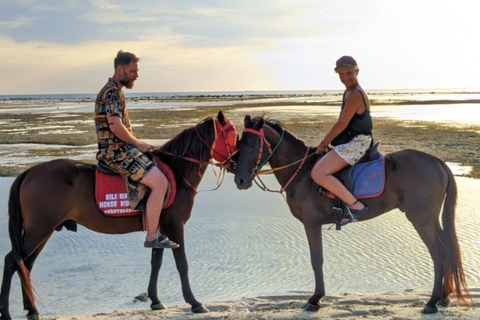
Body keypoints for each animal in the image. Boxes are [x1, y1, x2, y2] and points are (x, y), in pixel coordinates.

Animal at [0, 110, 237, 320]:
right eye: (233, 135)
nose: (236, 163)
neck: (177, 172)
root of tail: (29, 172)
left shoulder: (159, 230)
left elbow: (156, 262)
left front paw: (155, 300)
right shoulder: (175, 226)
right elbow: (182, 265)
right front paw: (194, 302)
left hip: (43, 231)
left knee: (25, 264)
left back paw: (32, 309)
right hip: (39, 230)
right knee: (12, 260)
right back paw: (7, 312)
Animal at [234, 115, 470, 316]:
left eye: (253, 145)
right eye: (239, 144)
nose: (240, 180)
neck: (302, 172)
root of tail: (438, 162)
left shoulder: (312, 224)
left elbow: (316, 260)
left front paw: (315, 299)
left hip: (421, 221)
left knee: (438, 253)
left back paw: (432, 302)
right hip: (431, 220)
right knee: (446, 249)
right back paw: (444, 297)